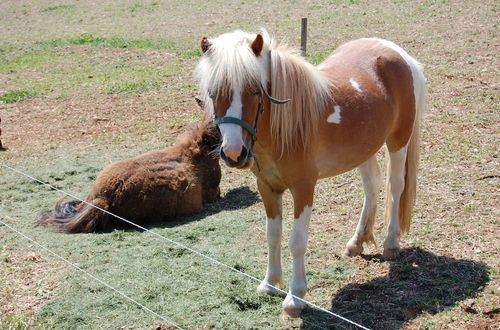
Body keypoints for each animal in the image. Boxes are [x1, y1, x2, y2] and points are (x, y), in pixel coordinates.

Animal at [195, 30, 426, 318]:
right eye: (213, 93)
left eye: (255, 90)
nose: (234, 153)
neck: (286, 127)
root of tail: (397, 52)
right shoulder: (267, 187)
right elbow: (272, 235)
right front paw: (270, 283)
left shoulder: (303, 188)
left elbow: (297, 242)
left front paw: (295, 298)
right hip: (364, 148)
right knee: (372, 186)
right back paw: (357, 241)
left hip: (398, 141)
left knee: (395, 186)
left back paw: (391, 244)